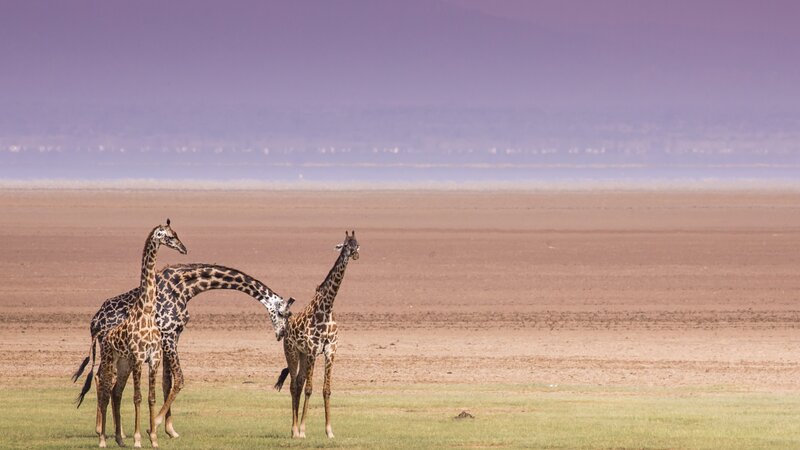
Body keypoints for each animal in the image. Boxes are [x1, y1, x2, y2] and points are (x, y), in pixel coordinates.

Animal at [72, 264, 294, 440]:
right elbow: (179, 380)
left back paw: (115, 431)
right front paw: (155, 424)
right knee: (103, 378)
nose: (281, 334)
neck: (185, 288)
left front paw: (170, 430)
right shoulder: (168, 335)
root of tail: (94, 323)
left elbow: (167, 382)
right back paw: (100, 429)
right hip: (112, 350)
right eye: (283, 313)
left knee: (102, 377)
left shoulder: (173, 336)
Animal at [95, 220, 188, 448]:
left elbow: (150, 397)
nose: (183, 249)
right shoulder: (138, 358)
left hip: (123, 364)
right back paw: (102, 440)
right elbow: (137, 397)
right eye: (170, 236)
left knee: (116, 391)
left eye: (175, 233)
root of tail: (106, 337)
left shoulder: (153, 358)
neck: (146, 311)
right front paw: (138, 439)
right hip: (110, 360)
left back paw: (119, 439)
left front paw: (153, 438)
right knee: (104, 392)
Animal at [276, 230, 360, 438]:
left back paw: (294, 429)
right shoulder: (314, 351)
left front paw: (329, 431)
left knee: (298, 382)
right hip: (292, 351)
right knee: (294, 385)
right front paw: (303, 430)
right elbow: (309, 389)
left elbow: (326, 390)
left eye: (357, 244)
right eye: (345, 245)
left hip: (303, 354)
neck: (327, 307)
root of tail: (287, 325)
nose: (354, 255)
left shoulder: (330, 351)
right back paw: (294, 430)